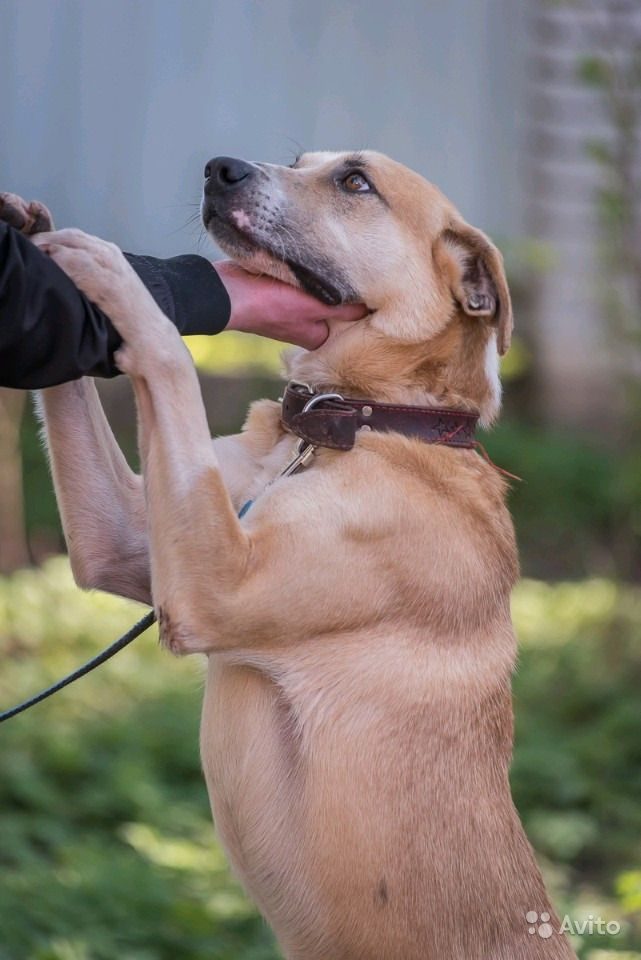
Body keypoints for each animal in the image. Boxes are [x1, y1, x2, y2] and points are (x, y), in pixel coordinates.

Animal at [6, 154, 576, 956]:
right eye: (302, 160)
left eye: (355, 181)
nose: (219, 167)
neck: (353, 425)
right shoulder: (120, 543)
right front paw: (37, 230)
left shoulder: (216, 586)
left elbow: (171, 359)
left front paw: (121, 275)